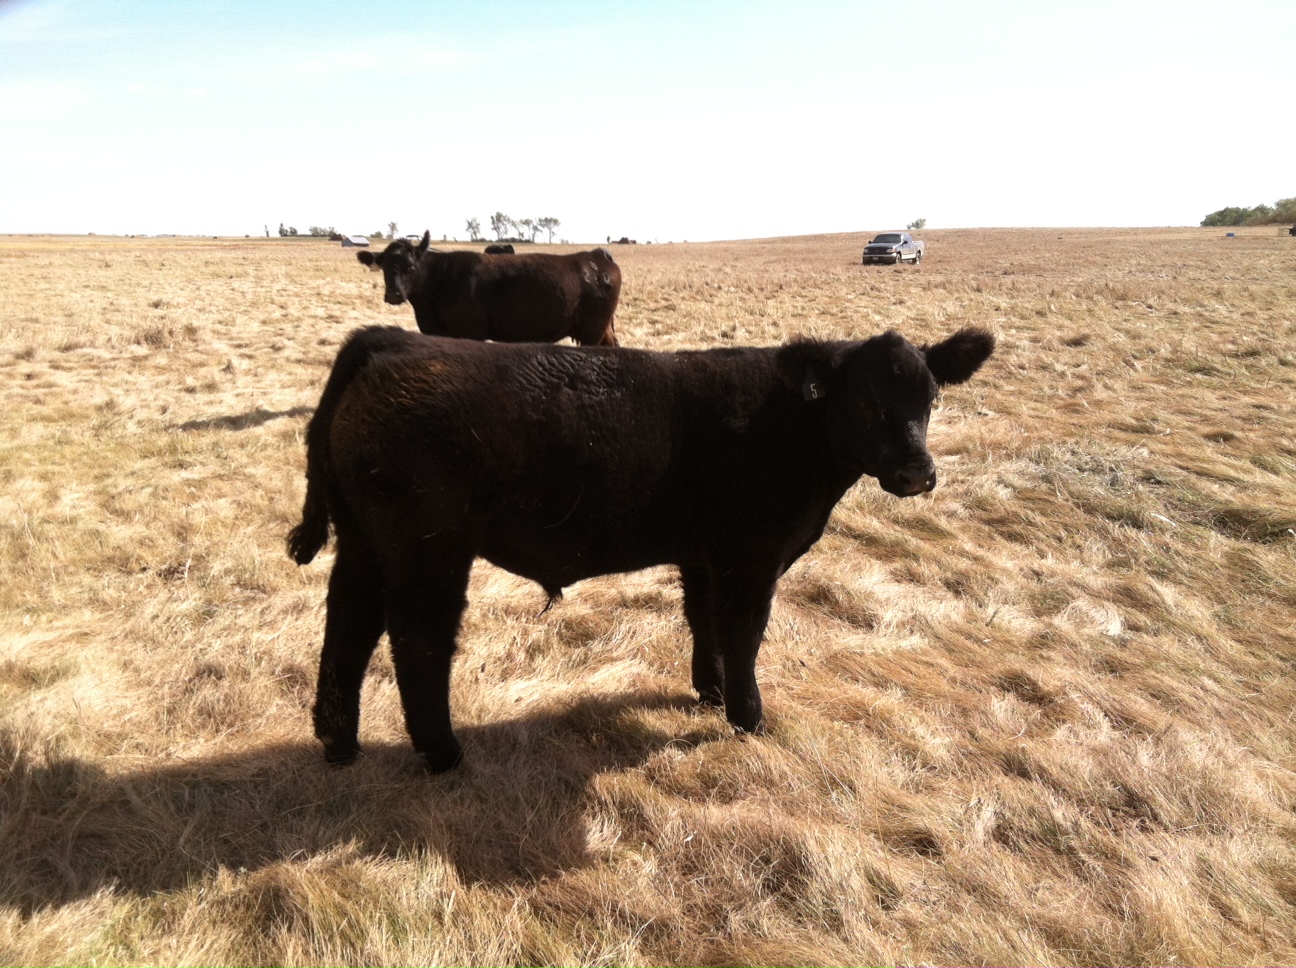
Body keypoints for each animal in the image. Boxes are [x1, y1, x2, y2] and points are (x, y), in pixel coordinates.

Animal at [288, 324, 995, 772]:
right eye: (866, 400)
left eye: (932, 397)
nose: (917, 473)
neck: (790, 428)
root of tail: (392, 341)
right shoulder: (750, 557)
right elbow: (744, 633)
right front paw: (749, 717)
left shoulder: (704, 557)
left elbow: (704, 623)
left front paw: (710, 693)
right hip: (426, 550)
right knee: (417, 641)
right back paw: (442, 755)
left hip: (364, 543)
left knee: (347, 628)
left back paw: (339, 745)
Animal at [357, 231, 620, 346]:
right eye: (384, 266)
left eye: (410, 266)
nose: (393, 294)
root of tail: (596, 255)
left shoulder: (472, 331)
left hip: (592, 330)